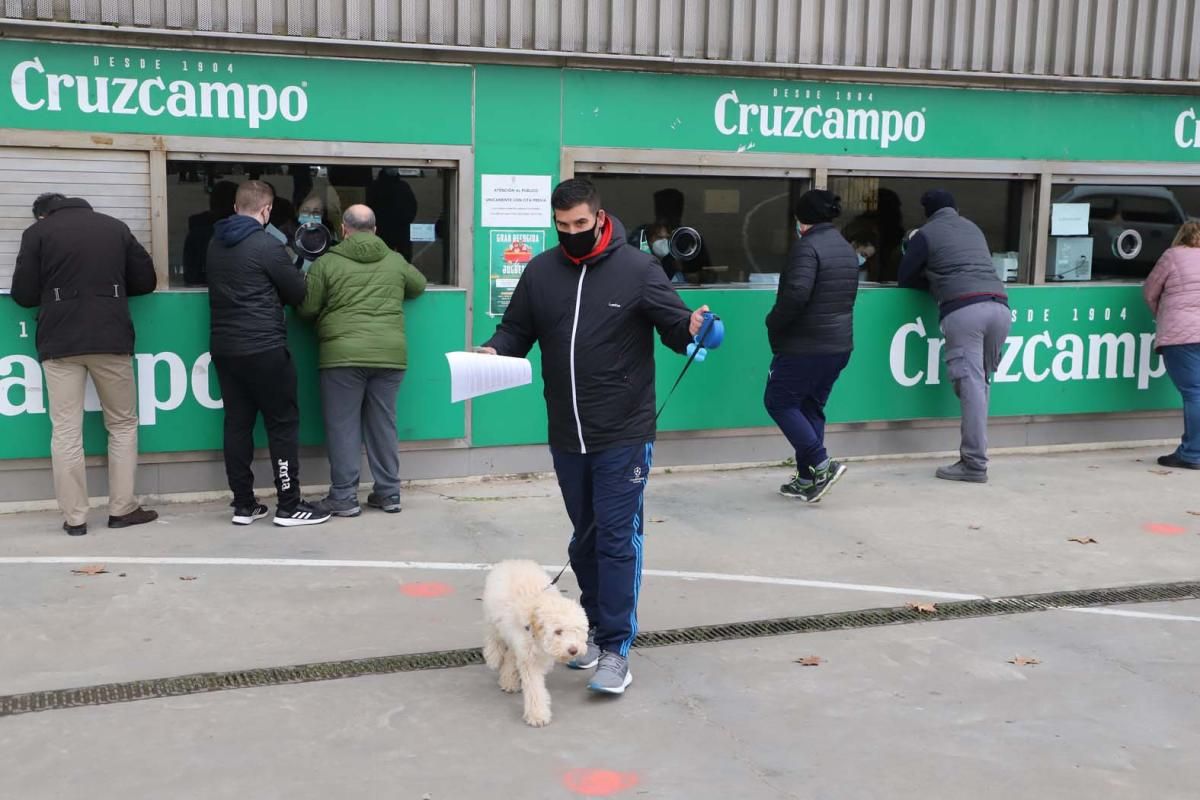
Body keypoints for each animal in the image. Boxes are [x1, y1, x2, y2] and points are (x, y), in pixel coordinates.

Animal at [480, 561, 588, 729]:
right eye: (558, 631)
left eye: (577, 631)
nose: (573, 650)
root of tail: (514, 561)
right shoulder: (529, 658)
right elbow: (535, 689)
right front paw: (537, 715)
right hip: (494, 616)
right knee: (493, 636)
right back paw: (494, 657)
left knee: (510, 655)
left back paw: (508, 680)